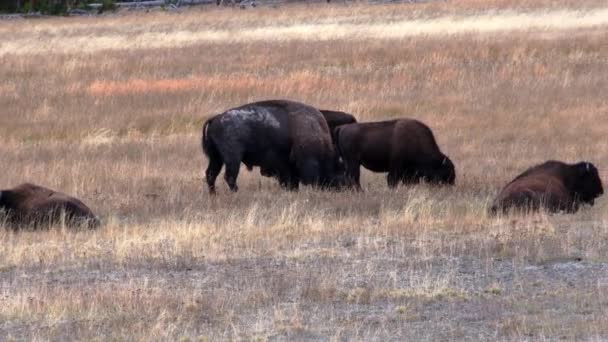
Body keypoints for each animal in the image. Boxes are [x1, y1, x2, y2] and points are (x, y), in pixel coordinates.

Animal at [203, 100, 342, 194]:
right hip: (233, 158)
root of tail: (216, 118)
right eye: (339, 170)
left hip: (216, 158)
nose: (339, 188)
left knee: (211, 174)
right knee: (229, 176)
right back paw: (236, 192)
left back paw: (213, 194)